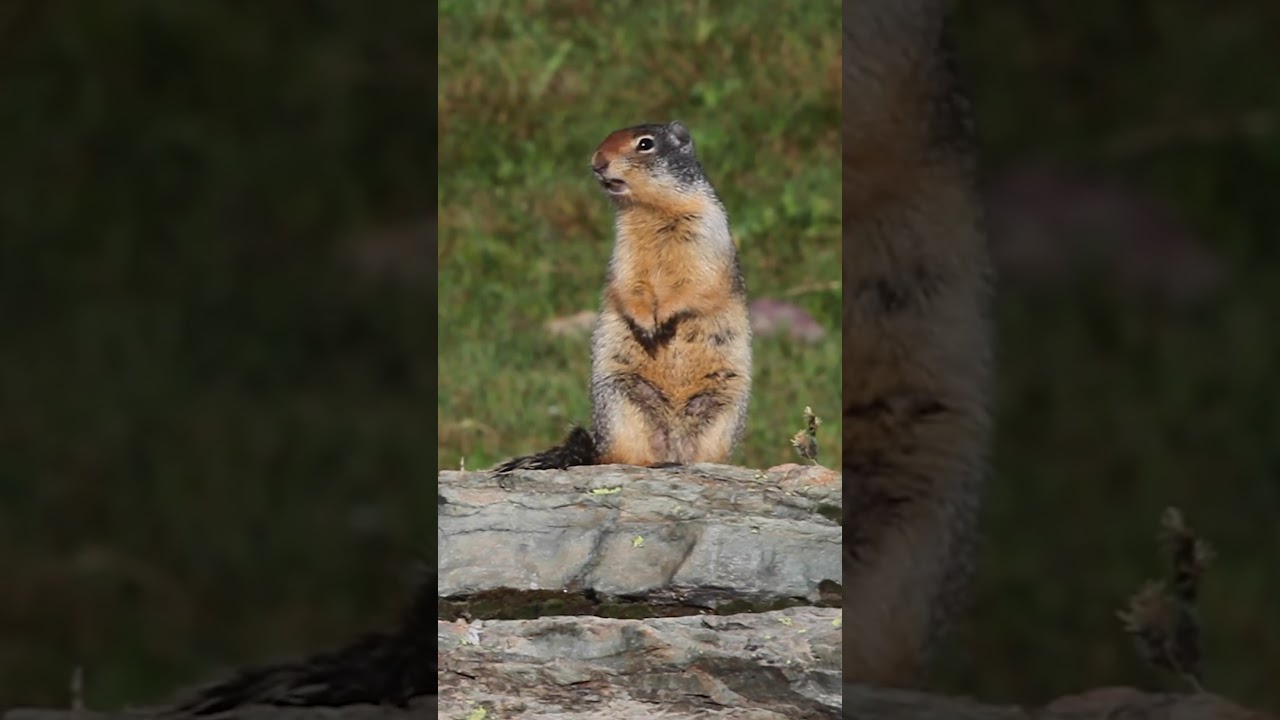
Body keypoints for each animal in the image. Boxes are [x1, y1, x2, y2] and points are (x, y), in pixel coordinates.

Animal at [495, 120, 753, 472]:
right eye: (605, 138)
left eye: (645, 144)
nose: (597, 162)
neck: (651, 211)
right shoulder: (623, 248)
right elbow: (628, 284)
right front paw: (647, 323)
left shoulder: (706, 231)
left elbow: (698, 282)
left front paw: (665, 318)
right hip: (620, 397)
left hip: (722, 405)